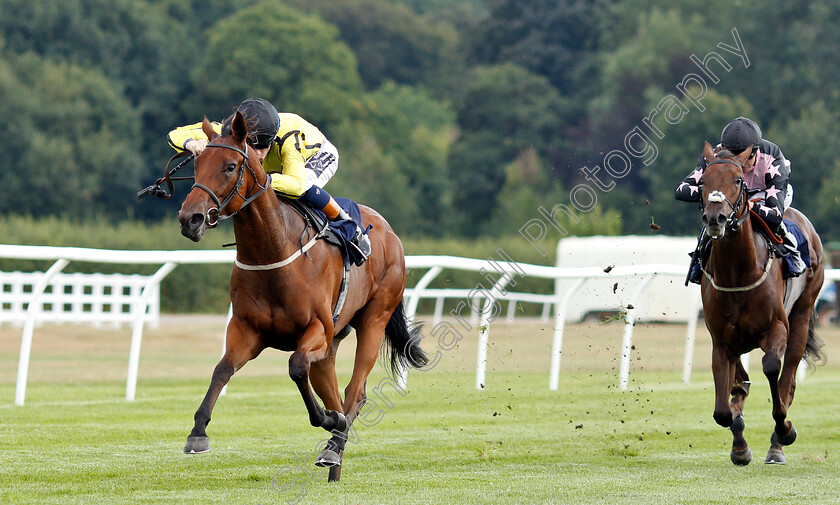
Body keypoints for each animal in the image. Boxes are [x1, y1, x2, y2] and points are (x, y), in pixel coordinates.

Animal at [176, 110, 426, 480]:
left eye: (230, 167)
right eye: (197, 164)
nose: (189, 219)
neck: (272, 253)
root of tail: (390, 232)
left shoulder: (316, 330)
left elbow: (295, 367)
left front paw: (325, 419)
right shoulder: (246, 331)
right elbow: (221, 369)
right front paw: (197, 432)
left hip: (374, 319)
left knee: (354, 392)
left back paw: (334, 443)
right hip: (332, 344)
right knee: (336, 392)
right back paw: (334, 455)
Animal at [696, 141, 828, 464]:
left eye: (738, 181)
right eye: (703, 182)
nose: (715, 218)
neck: (738, 273)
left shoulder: (776, 327)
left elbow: (771, 368)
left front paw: (784, 429)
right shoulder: (722, 341)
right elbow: (723, 409)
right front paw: (740, 445)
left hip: (802, 314)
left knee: (788, 378)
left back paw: (777, 445)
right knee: (741, 384)